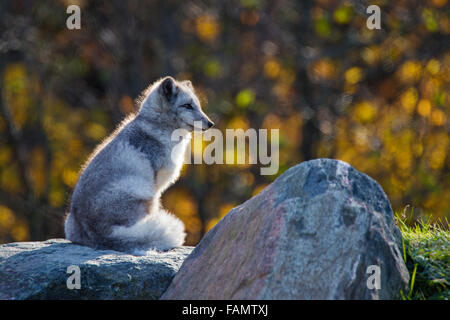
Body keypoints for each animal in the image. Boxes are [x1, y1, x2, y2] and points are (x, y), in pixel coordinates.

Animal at [64, 76, 215, 254]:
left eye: (198, 106)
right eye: (187, 106)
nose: (211, 123)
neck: (159, 127)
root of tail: (98, 234)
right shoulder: (156, 186)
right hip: (142, 191)